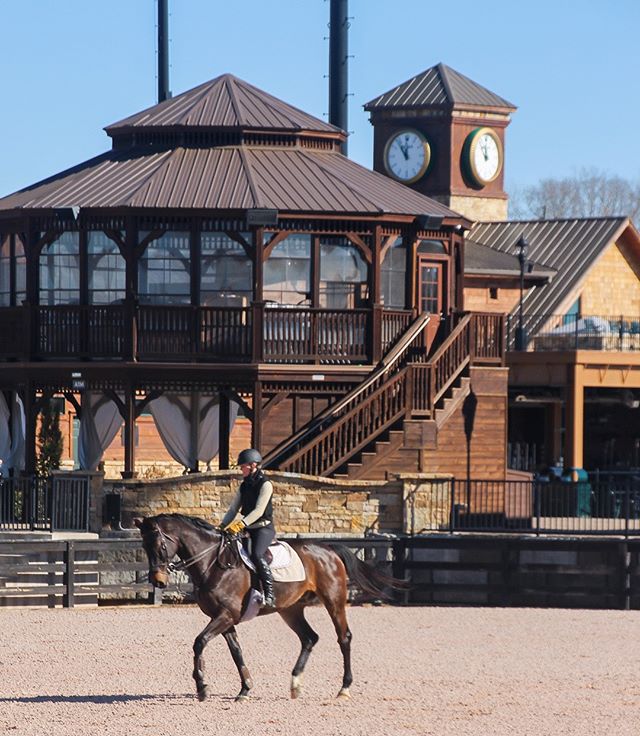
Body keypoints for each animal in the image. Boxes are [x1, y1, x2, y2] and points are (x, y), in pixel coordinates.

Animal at [134, 513, 406, 702]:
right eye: (144, 547)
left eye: (160, 546)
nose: (158, 581)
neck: (213, 562)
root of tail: (328, 549)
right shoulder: (224, 618)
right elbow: (236, 652)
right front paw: (245, 689)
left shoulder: (226, 615)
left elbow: (199, 642)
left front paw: (202, 687)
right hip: (291, 609)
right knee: (309, 637)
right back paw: (295, 684)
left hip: (334, 600)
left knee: (344, 638)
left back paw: (344, 688)